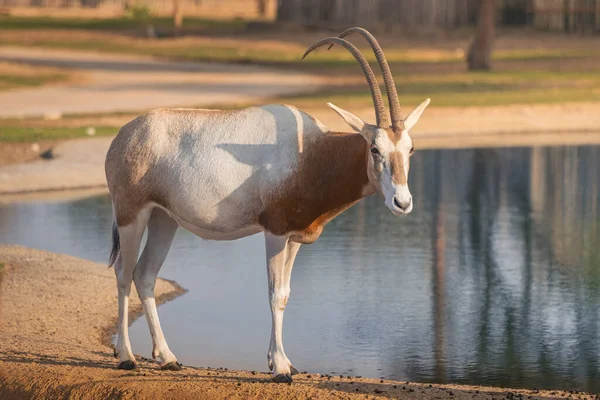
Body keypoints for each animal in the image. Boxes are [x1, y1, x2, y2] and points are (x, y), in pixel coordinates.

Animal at [105, 26, 428, 382]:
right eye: (374, 148)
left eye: (410, 148)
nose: (402, 202)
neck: (312, 154)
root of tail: (123, 135)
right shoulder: (274, 233)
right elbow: (274, 294)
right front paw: (281, 369)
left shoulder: (295, 238)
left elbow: (285, 295)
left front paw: (282, 361)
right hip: (132, 215)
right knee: (123, 273)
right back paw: (126, 357)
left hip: (164, 219)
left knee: (145, 275)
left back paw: (167, 358)